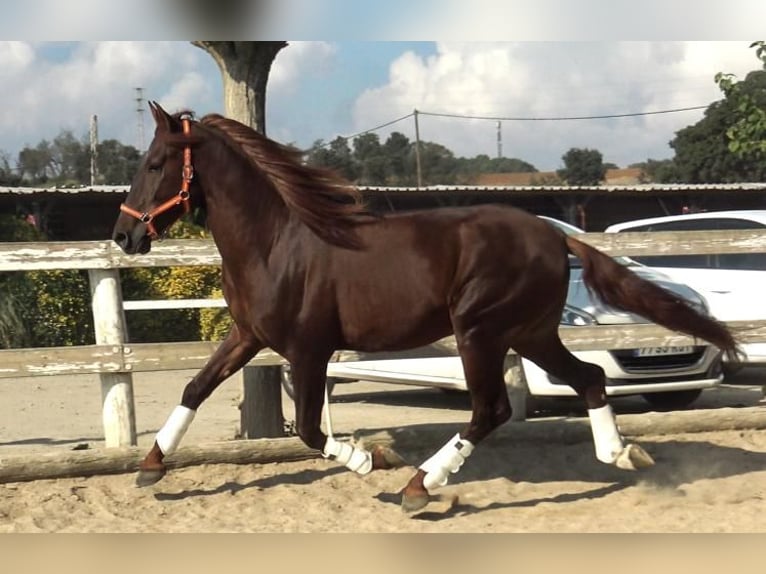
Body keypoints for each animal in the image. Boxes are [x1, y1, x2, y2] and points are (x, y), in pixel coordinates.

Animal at [111, 102, 740, 512]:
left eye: (154, 164)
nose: (123, 236)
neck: (276, 243)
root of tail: (553, 236)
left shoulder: (309, 350)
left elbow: (311, 430)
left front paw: (370, 458)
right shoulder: (249, 336)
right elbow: (195, 387)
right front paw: (150, 467)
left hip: (479, 332)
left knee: (493, 410)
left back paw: (417, 486)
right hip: (530, 332)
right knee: (588, 378)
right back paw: (624, 455)